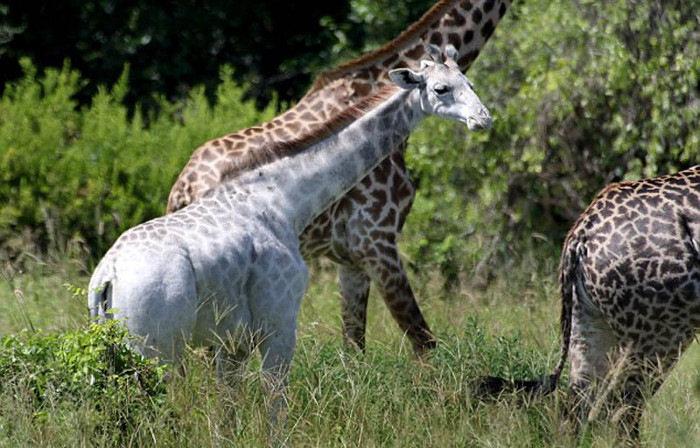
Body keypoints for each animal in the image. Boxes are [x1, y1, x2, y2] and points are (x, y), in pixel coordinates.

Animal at [89, 52, 491, 432]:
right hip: (155, 349)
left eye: (469, 82)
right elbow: (275, 408)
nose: (484, 119)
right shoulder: (279, 323)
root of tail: (105, 276)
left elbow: (226, 415)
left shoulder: (231, 341)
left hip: (114, 352)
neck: (286, 199)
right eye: (440, 88)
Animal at [166, 0, 511, 355]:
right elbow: (423, 342)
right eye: (441, 89)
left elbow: (354, 346)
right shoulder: (377, 241)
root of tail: (182, 190)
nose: (484, 119)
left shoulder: (350, 258)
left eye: (471, 86)